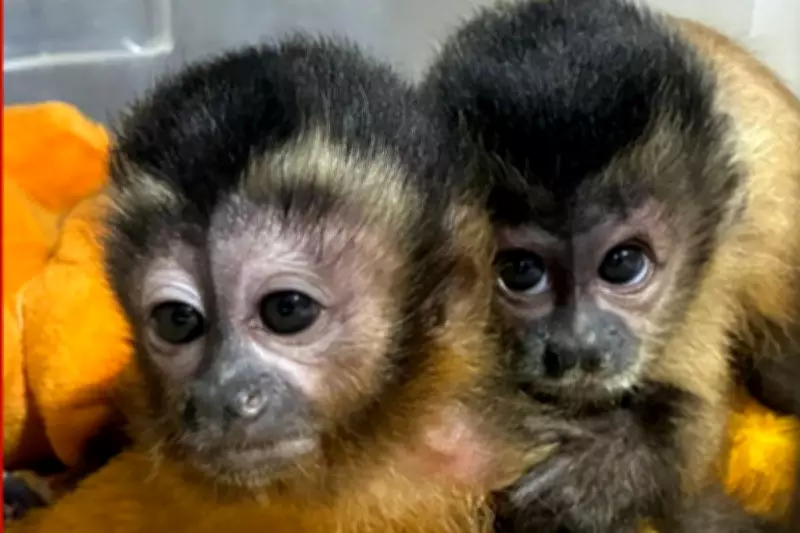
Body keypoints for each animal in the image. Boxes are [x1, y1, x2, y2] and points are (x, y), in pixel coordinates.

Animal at [420, 0, 800, 531]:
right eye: (521, 272)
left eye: (623, 265)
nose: (578, 347)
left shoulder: (714, 270)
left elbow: (695, 431)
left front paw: (609, 466)